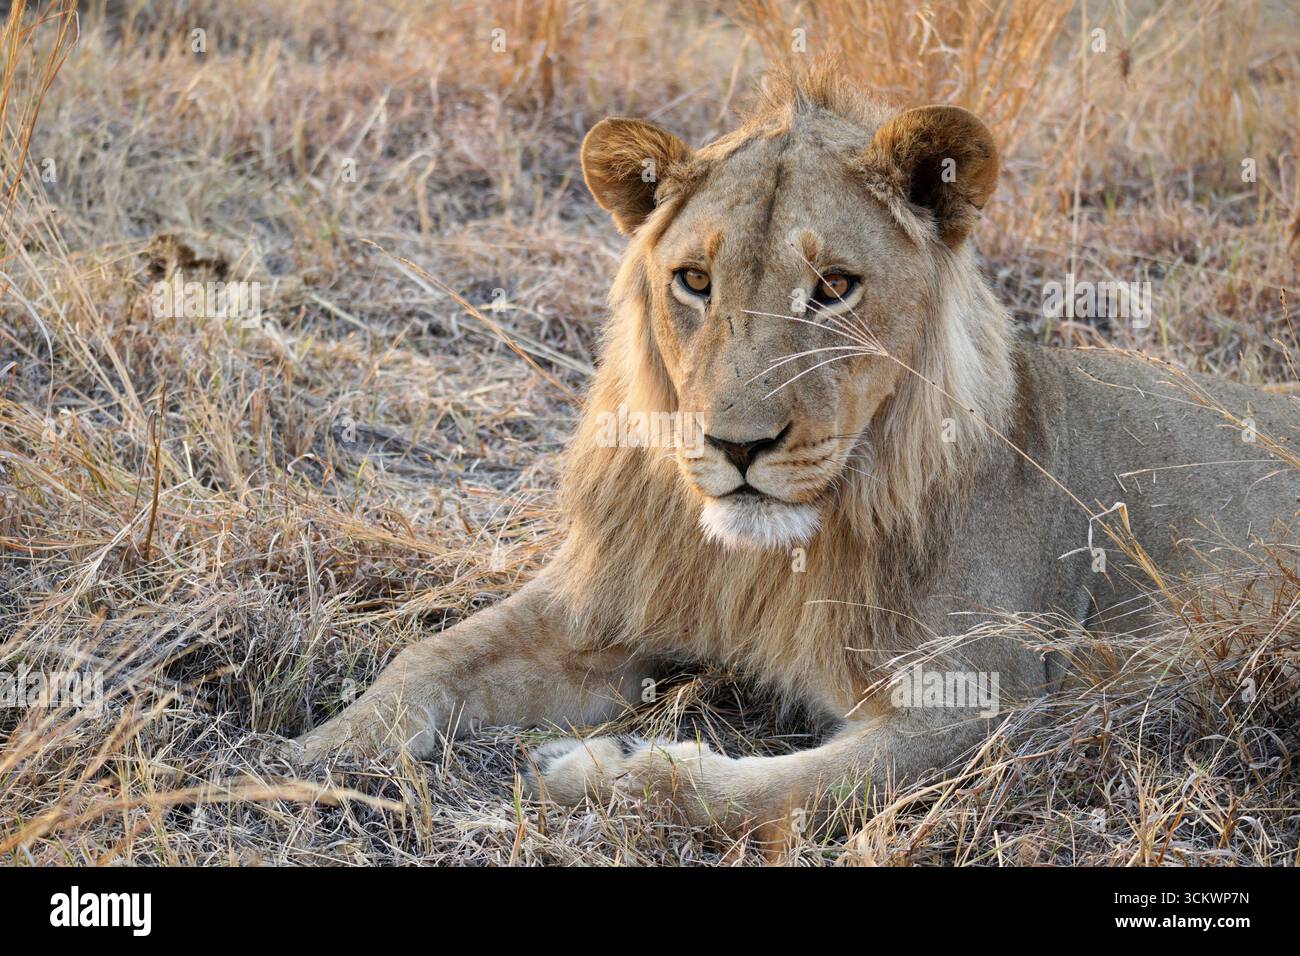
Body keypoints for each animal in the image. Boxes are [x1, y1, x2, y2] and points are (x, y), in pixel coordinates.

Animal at [294, 69, 1297, 843]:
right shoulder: (614, 598)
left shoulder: (986, 708)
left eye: (835, 287)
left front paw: (592, 771)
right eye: (694, 280)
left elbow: (771, 793)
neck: (776, 556)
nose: (737, 446)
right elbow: (432, 653)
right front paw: (322, 754)